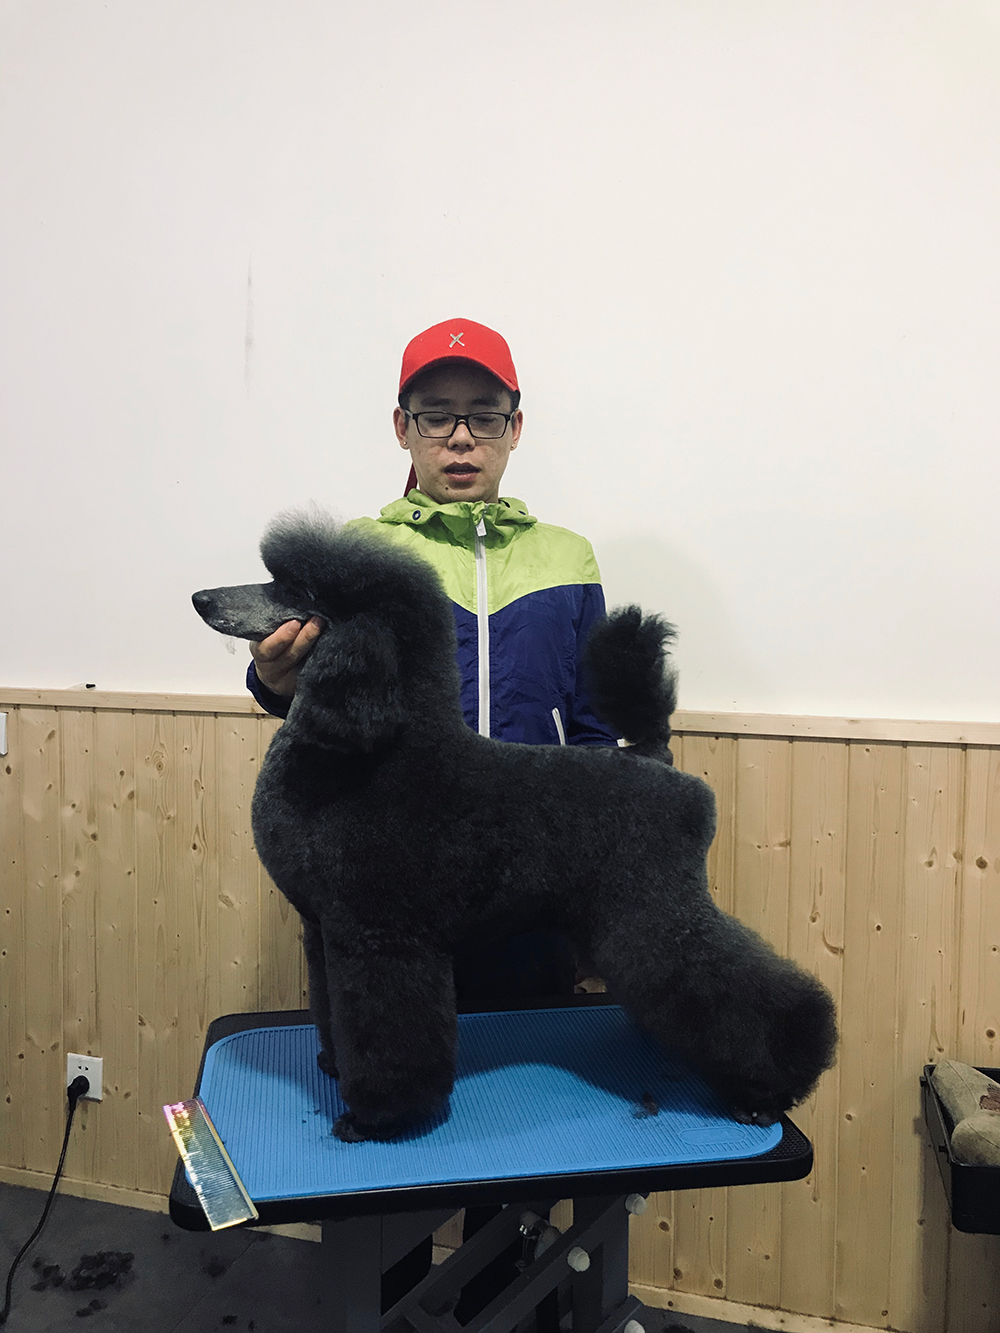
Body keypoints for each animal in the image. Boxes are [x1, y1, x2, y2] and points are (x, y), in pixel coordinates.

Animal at [193, 510, 837, 1142]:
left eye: (292, 588)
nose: (202, 598)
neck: (364, 751)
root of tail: (655, 757)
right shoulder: (326, 931)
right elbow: (332, 1010)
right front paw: (333, 1063)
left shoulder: (381, 934)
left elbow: (388, 1035)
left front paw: (377, 1117)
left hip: (650, 908)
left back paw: (768, 1088)